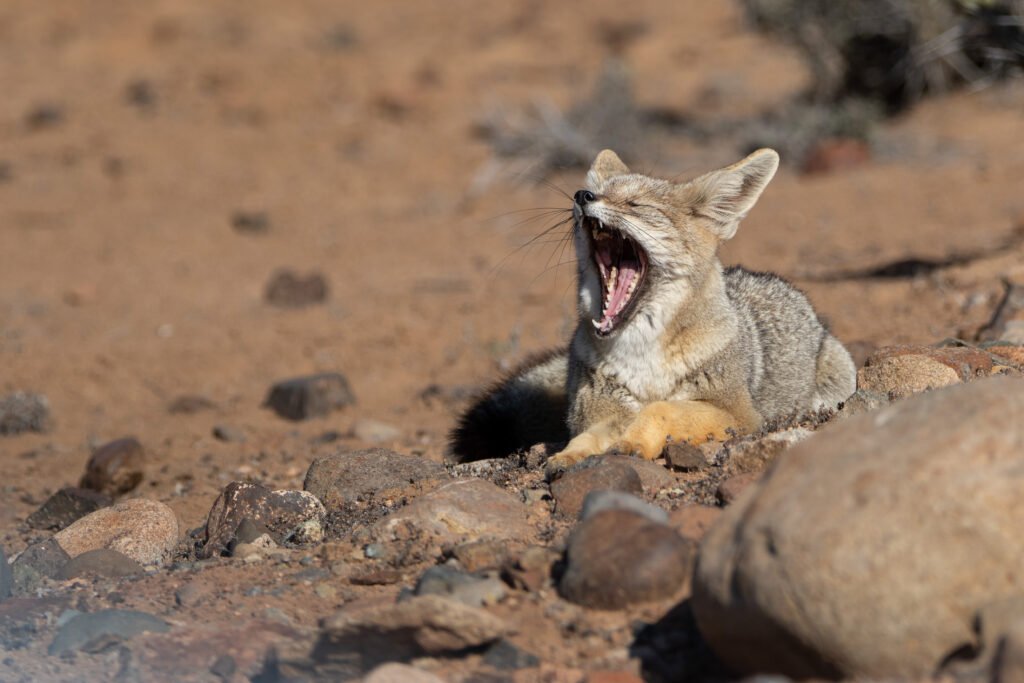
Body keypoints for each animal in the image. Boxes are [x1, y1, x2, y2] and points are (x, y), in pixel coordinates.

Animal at [449, 148, 856, 478]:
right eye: (598, 192)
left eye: (635, 205)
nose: (582, 195)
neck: (642, 355)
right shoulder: (598, 411)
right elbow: (591, 434)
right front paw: (572, 453)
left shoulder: (738, 415)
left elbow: (663, 409)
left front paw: (635, 441)